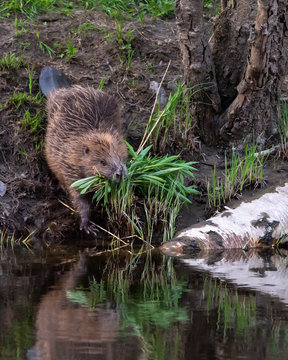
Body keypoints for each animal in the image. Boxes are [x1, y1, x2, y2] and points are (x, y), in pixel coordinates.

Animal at [40, 67, 127, 233]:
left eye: (119, 156)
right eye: (103, 162)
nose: (119, 173)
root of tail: (58, 90)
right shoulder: (69, 167)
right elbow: (79, 197)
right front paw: (88, 226)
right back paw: (52, 182)